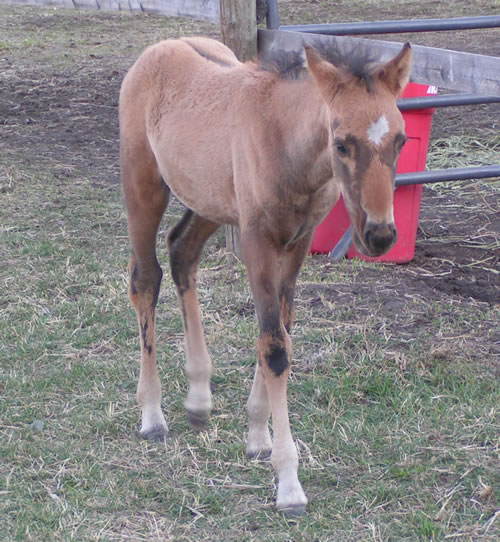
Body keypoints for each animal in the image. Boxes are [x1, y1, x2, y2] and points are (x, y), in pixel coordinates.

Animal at [119, 37, 412, 516]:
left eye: (401, 139)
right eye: (341, 143)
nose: (381, 234)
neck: (287, 145)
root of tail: (162, 47)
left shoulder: (297, 243)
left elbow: (280, 334)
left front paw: (258, 437)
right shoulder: (257, 240)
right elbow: (274, 347)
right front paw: (289, 483)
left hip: (211, 200)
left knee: (182, 252)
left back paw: (199, 398)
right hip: (143, 186)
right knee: (145, 279)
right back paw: (153, 414)